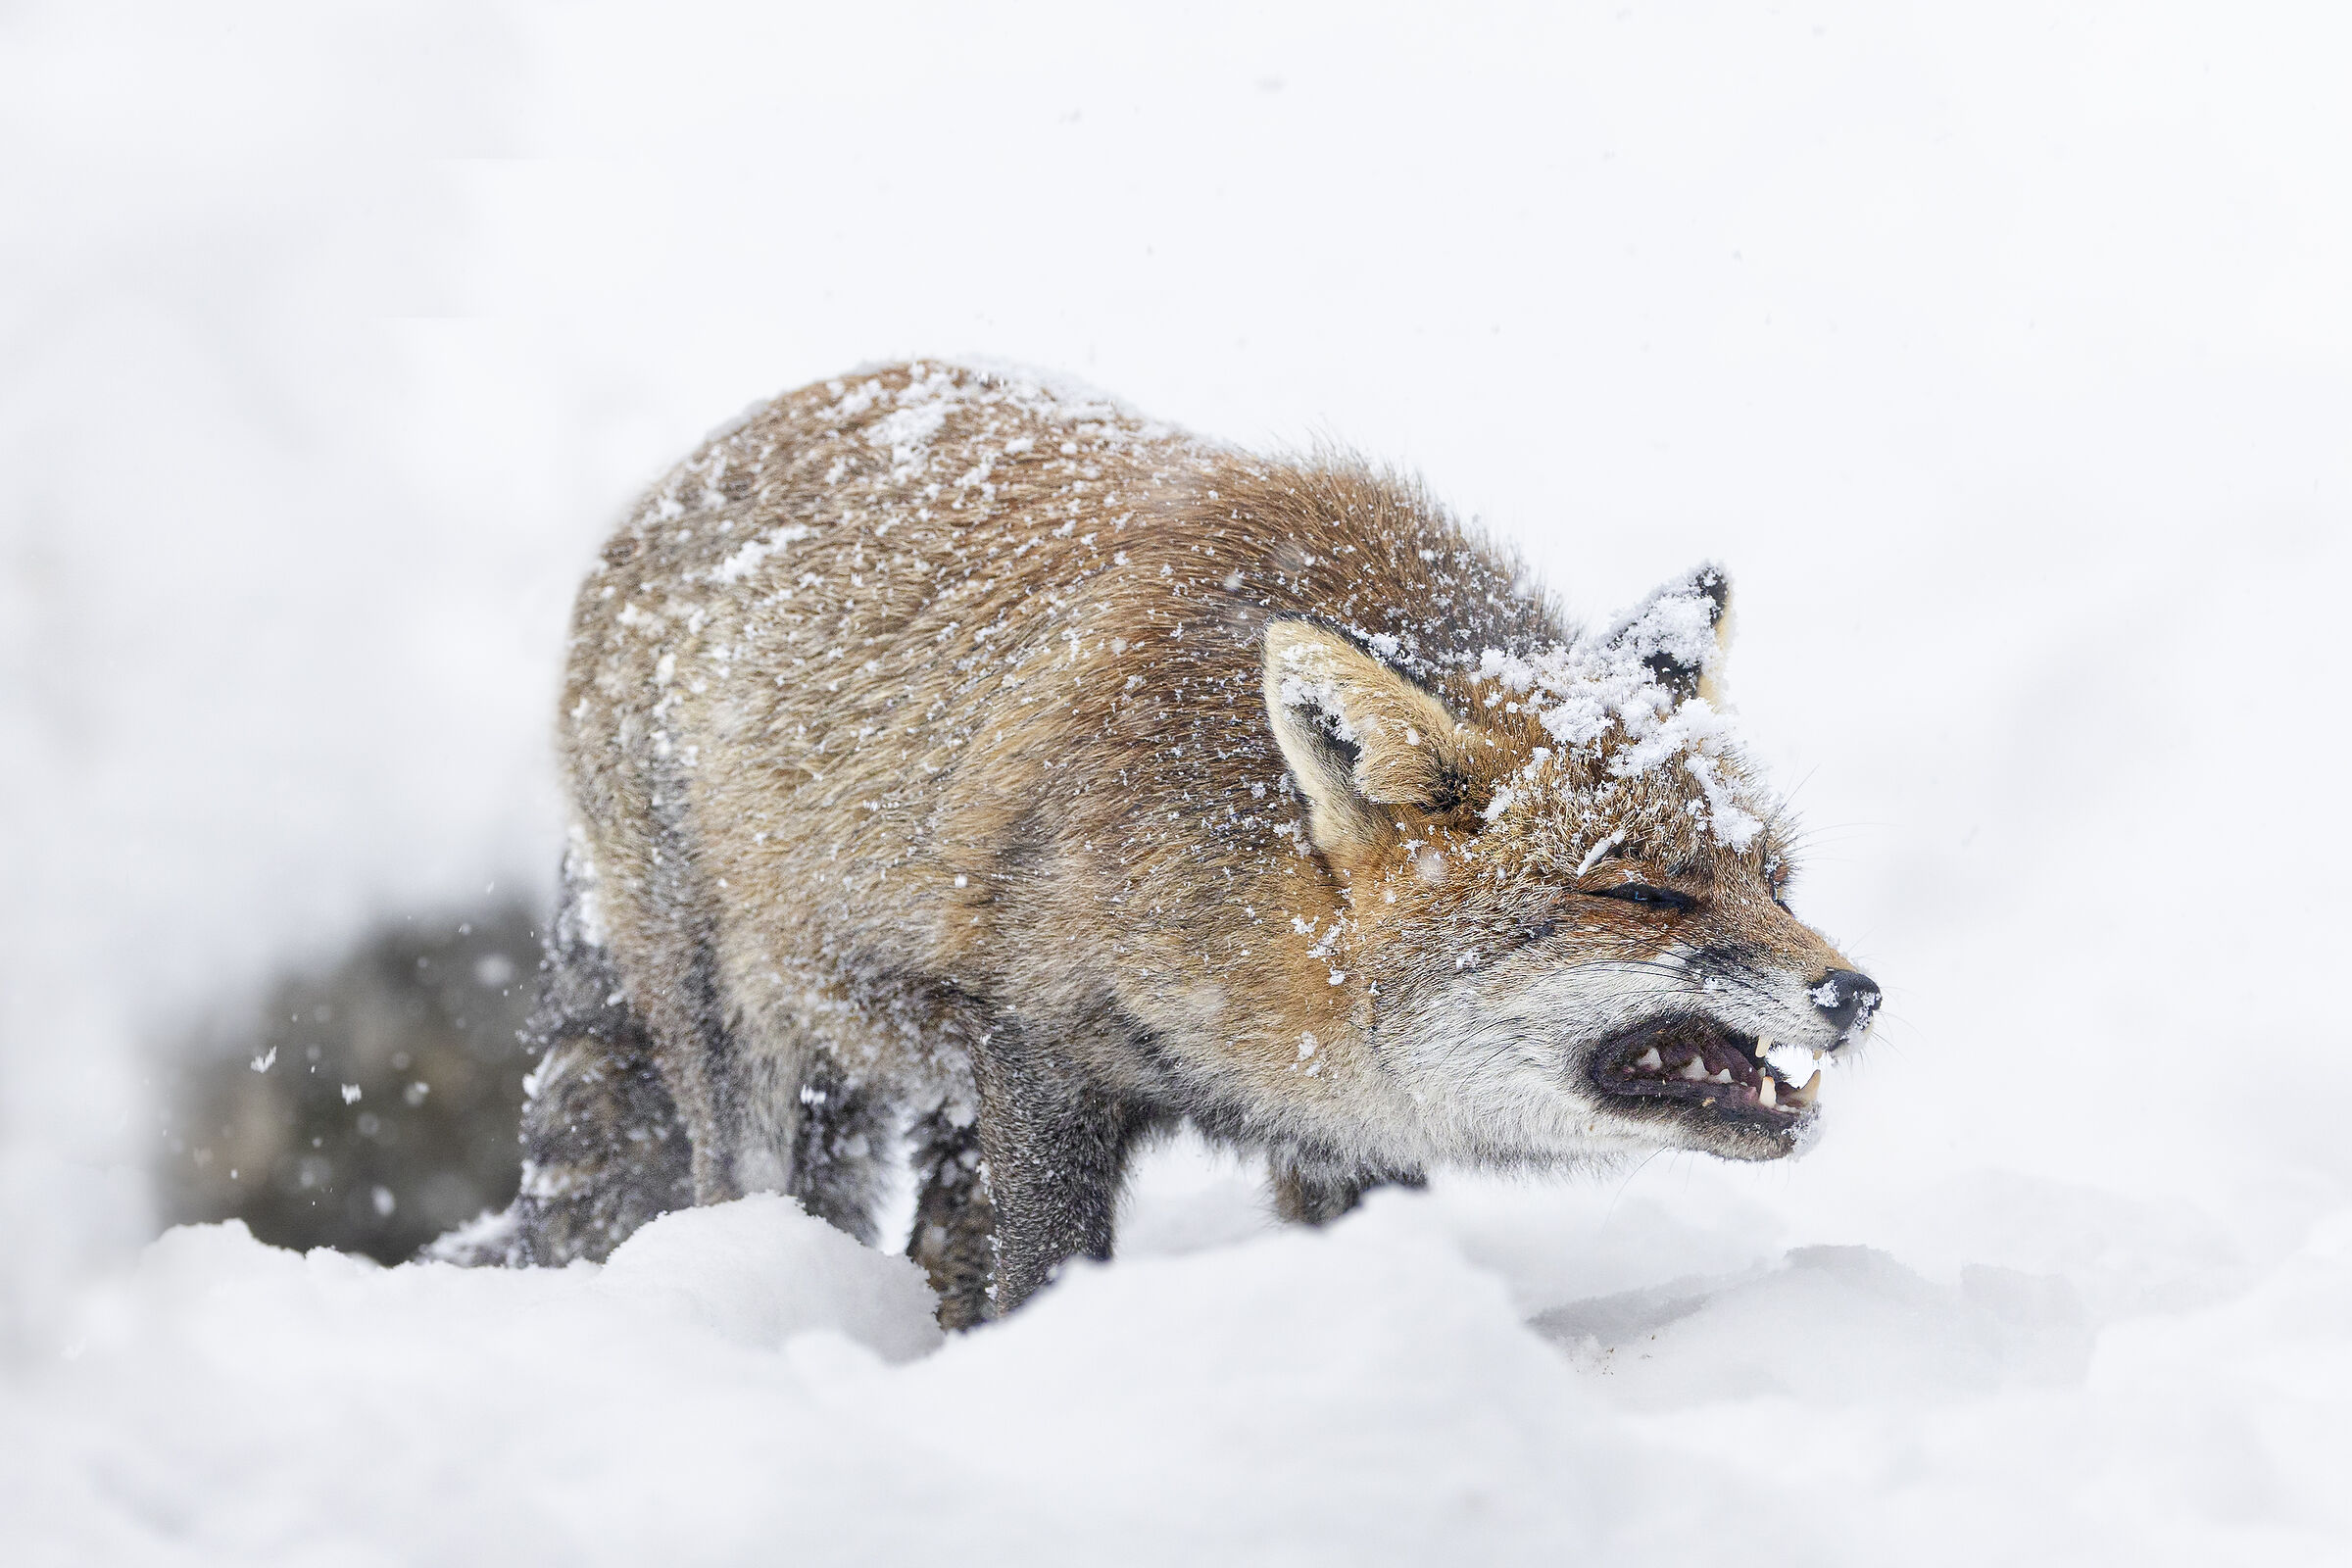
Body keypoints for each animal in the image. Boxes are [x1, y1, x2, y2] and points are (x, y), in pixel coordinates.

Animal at [449, 360, 1880, 1328]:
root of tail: (682, 472)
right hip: (737, 1040)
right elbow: (1042, 1268)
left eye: (1775, 878)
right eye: (1639, 893)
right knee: (734, 1194)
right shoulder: (1036, 1057)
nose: (1856, 993)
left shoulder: (1337, 1138)